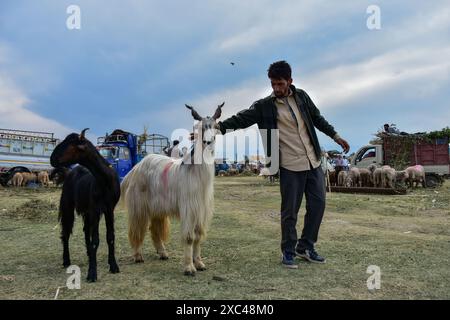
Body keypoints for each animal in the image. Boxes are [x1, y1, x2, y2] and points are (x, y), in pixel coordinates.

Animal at [50, 128, 120, 282]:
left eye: (71, 145)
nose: (52, 159)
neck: (104, 180)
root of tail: (69, 172)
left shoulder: (109, 209)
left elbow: (110, 237)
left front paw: (113, 266)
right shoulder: (95, 209)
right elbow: (96, 240)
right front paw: (92, 273)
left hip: (88, 211)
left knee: (85, 230)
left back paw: (88, 254)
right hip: (68, 205)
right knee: (66, 233)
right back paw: (66, 260)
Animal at [121, 102, 223, 276]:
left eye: (215, 126)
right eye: (200, 127)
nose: (207, 142)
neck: (195, 173)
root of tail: (135, 169)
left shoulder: (201, 210)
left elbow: (198, 236)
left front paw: (199, 263)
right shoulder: (189, 208)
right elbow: (189, 237)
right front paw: (189, 267)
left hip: (157, 207)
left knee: (154, 229)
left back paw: (162, 253)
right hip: (139, 205)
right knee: (137, 229)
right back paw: (138, 256)